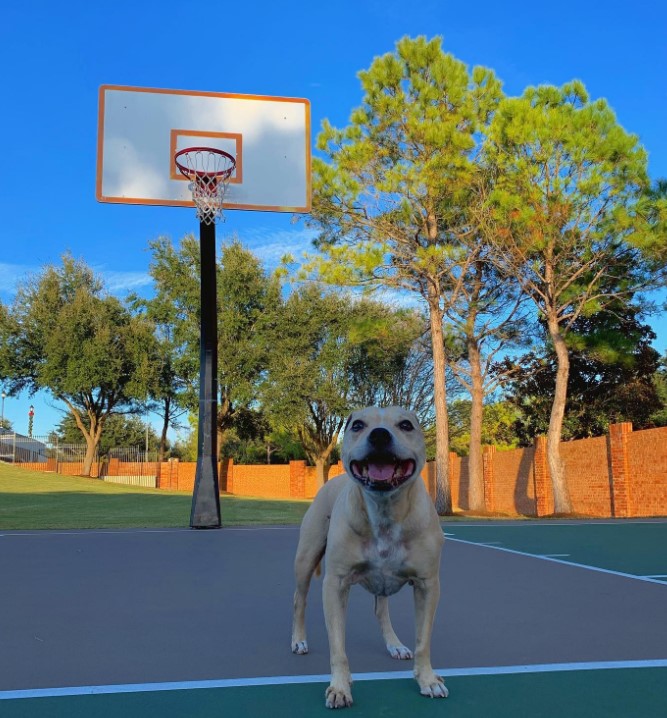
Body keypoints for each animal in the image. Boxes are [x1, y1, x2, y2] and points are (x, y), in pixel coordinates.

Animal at [292, 408, 448, 712]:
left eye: (406, 425)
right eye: (358, 425)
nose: (379, 435)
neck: (385, 511)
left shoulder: (428, 586)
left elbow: (423, 641)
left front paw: (427, 679)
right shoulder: (335, 584)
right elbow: (337, 647)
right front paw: (340, 687)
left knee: (381, 611)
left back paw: (394, 644)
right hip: (305, 558)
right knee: (299, 600)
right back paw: (299, 641)